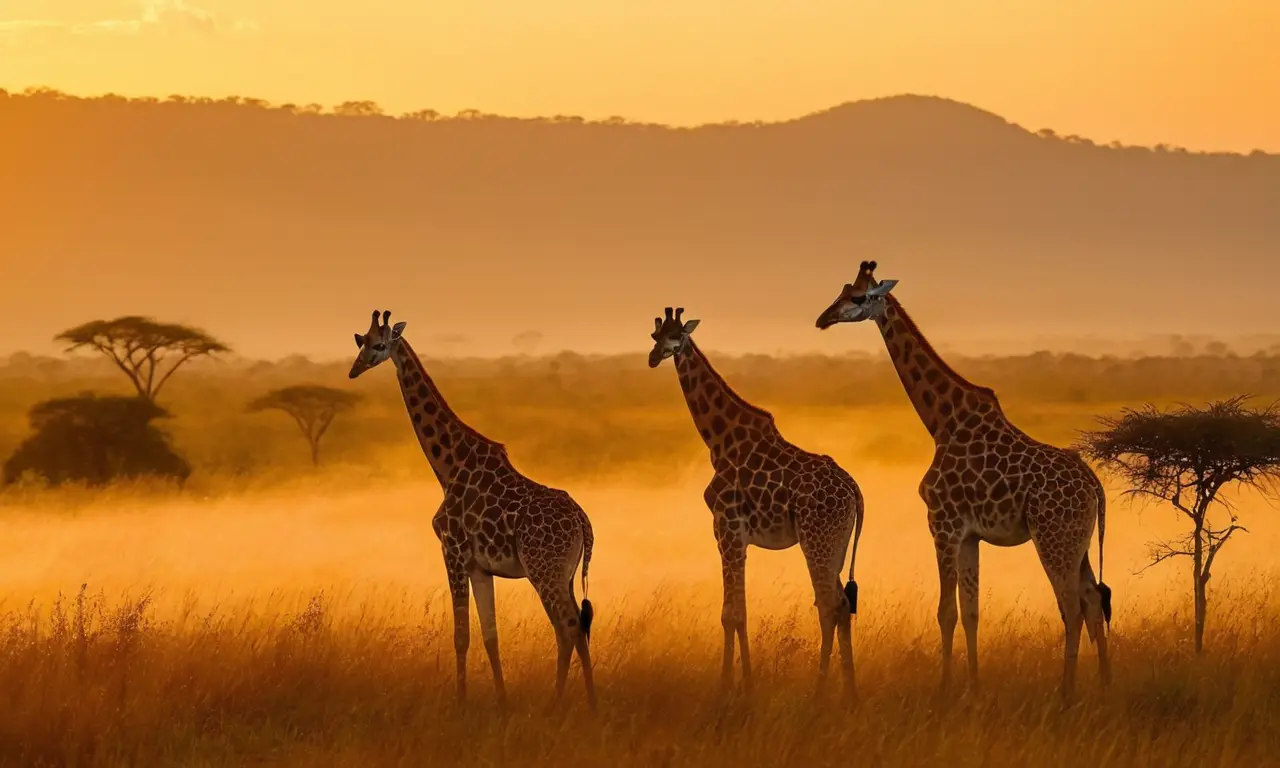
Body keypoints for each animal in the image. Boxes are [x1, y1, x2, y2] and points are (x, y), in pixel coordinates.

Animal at [348, 310, 597, 710]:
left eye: (381, 344)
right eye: (361, 341)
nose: (355, 370)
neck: (448, 466)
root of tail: (583, 523)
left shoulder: (452, 550)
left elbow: (461, 634)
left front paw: (461, 703)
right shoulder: (480, 566)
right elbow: (490, 635)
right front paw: (502, 701)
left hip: (544, 571)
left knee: (568, 625)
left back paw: (559, 701)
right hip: (566, 573)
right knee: (579, 623)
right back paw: (589, 700)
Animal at [648, 306, 865, 700]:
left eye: (678, 337)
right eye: (655, 336)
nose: (654, 357)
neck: (719, 440)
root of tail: (854, 490)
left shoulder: (728, 526)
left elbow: (732, 613)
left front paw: (732, 688)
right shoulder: (732, 534)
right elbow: (737, 610)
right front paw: (741, 684)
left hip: (817, 540)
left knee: (830, 605)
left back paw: (821, 691)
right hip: (838, 545)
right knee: (842, 605)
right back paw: (849, 691)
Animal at [814, 261, 1112, 702]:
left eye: (858, 297)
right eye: (842, 290)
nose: (823, 318)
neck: (942, 422)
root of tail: (1095, 486)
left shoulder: (943, 523)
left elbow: (946, 611)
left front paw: (944, 689)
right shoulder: (971, 534)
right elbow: (970, 611)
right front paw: (973, 687)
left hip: (1054, 538)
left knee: (1072, 606)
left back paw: (1066, 693)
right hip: (1080, 541)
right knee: (1093, 599)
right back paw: (1107, 685)